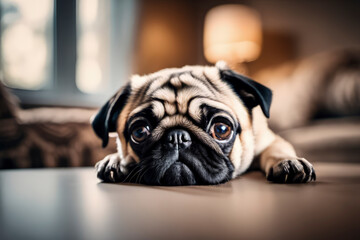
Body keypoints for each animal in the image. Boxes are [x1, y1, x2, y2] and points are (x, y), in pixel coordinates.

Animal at [92, 62, 316, 186]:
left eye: (221, 129)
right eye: (139, 132)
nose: (177, 136)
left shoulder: (269, 141)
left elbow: (277, 150)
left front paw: (288, 163)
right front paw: (115, 161)